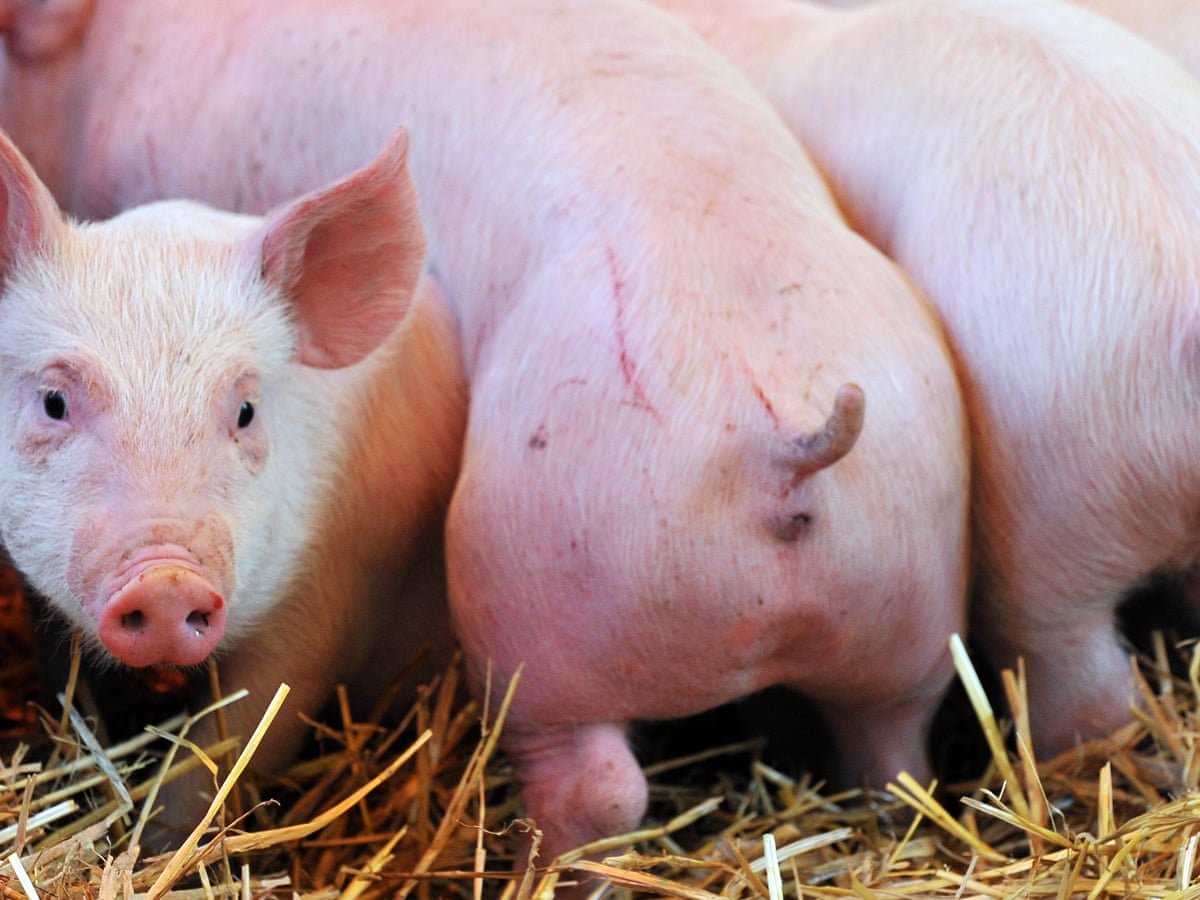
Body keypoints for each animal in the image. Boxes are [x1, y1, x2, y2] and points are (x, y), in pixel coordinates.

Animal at [0, 123, 467, 838]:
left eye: (246, 410)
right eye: (54, 401)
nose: (166, 581)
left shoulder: (327, 591)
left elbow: (236, 744)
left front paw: (160, 844)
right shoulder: (42, 603)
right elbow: (71, 695)